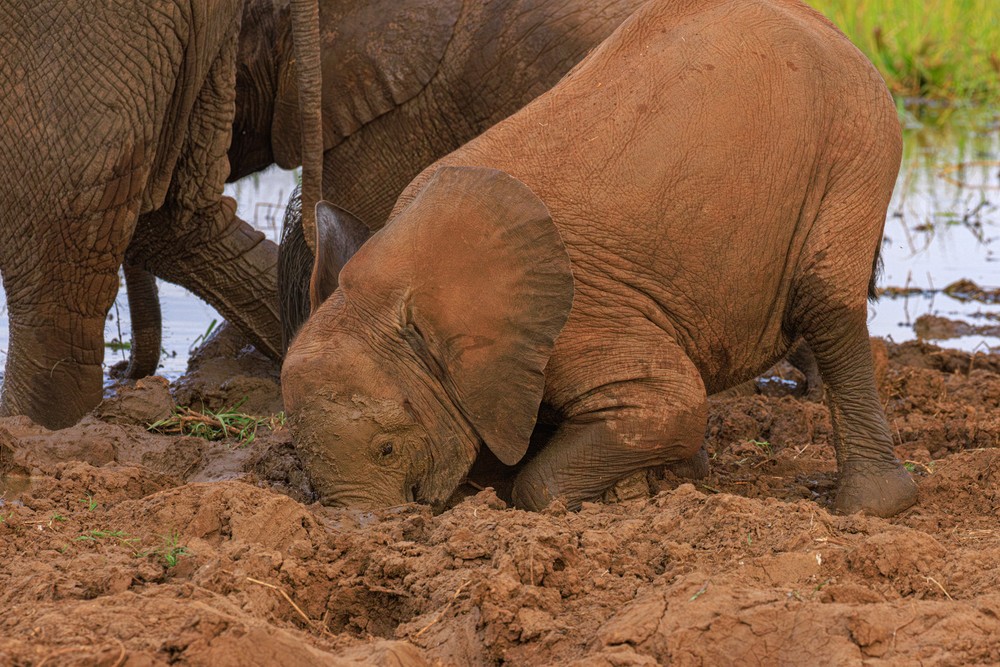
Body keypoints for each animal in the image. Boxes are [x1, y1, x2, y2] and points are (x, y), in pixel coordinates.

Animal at [281, 0, 919, 517]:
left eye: (387, 448)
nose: (366, 526)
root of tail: (828, 27)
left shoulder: (580, 314)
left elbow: (670, 407)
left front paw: (623, 494)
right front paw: (648, 486)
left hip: (858, 145)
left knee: (825, 305)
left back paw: (868, 507)